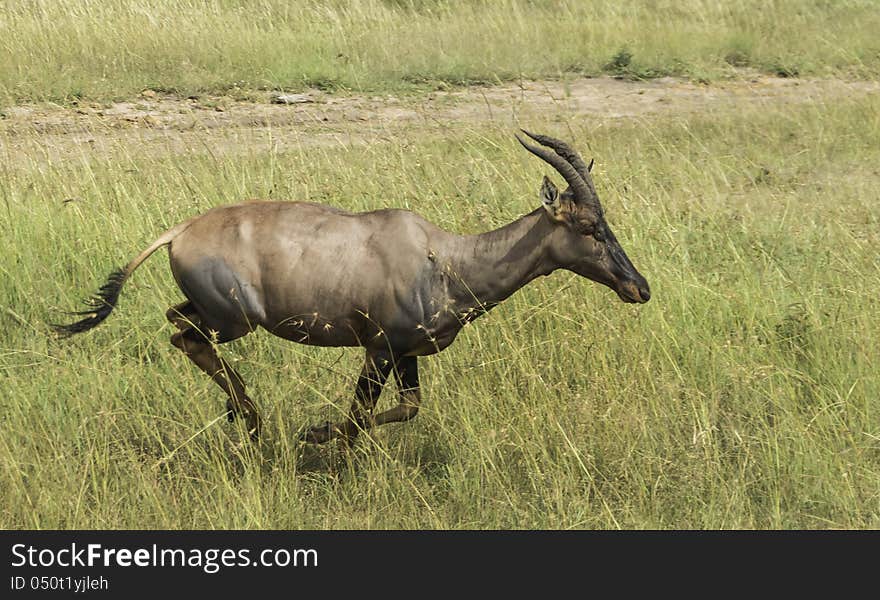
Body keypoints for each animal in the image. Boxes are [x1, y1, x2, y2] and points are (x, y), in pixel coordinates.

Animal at [53, 131, 648, 446]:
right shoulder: (379, 347)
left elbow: (407, 408)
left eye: (606, 221)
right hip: (234, 321)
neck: (444, 257)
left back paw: (243, 415)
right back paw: (250, 416)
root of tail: (179, 230)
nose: (638, 287)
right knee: (184, 335)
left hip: (217, 315)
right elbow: (359, 416)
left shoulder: (407, 354)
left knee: (178, 324)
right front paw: (316, 434)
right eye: (587, 226)